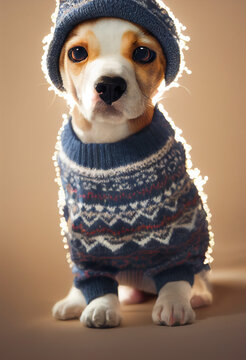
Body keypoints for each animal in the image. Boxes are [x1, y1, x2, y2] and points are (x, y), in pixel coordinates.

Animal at [43, 0, 213, 328]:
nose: (109, 86)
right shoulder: (83, 237)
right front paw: (100, 305)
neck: (110, 143)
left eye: (143, 53)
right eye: (77, 53)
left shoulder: (176, 226)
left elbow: (176, 273)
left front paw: (174, 303)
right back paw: (77, 300)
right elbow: (94, 277)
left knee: (196, 274)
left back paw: (197, 293)